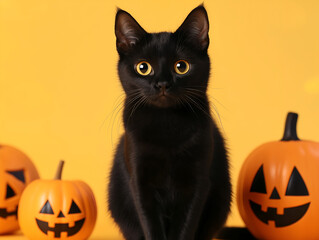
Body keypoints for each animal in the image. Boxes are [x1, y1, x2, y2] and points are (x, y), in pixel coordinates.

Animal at [109, 5, 231, 240]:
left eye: (181, 66)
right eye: (143, 67)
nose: (162, 84)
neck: (167, 124)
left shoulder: (197, 183)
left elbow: (184, 227)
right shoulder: (140, 182)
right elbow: (151, 225)